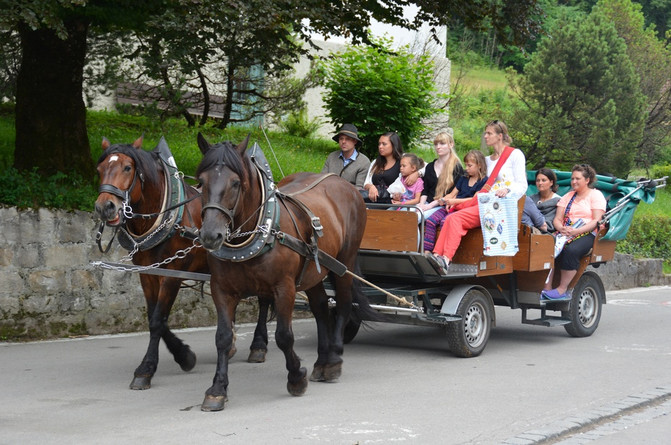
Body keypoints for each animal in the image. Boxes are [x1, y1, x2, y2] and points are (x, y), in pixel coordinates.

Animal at [94, 135, 272, 388]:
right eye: (99, 169)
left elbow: (158, 320)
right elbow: (154, 317)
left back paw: (258, 345)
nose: (104, 207)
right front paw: (184, 355)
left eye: (128, 168)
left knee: (265, 300)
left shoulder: (172, 275)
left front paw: (148, 368)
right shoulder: (149, 273)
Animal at [194, 134, 372, 412]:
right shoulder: (221, 289)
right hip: (314, 269)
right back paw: (322, 361)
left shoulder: (283, 287)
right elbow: (223, 337)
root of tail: (343, 182)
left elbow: (284, 336)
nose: (211, 235)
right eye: (201, 181)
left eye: (236, 183)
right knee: (321, 307)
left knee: (343, 304)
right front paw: (217, 389)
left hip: (345, 262)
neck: (261, 231)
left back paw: (333, 360)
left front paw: (296, 377)